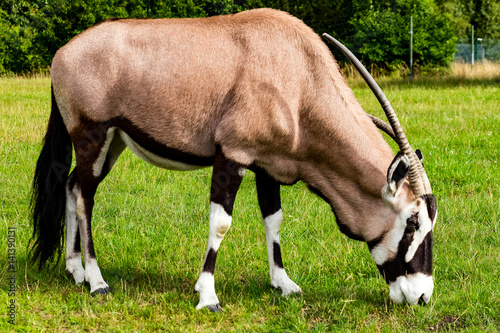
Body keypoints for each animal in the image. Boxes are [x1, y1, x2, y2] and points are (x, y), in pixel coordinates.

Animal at [31, 7, 438, 310]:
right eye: (413, 222)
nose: (421, 296)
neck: (299, 80)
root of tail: (62, 54)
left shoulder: (268, 165)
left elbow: (274, 219)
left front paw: (283, 283)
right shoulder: (232, 155)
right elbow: (221, 223)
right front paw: (207, 295)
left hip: (112, 143)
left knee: (71, 185)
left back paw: (75, 270)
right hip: (93, 135)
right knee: (85, 196)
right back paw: (97, 280)